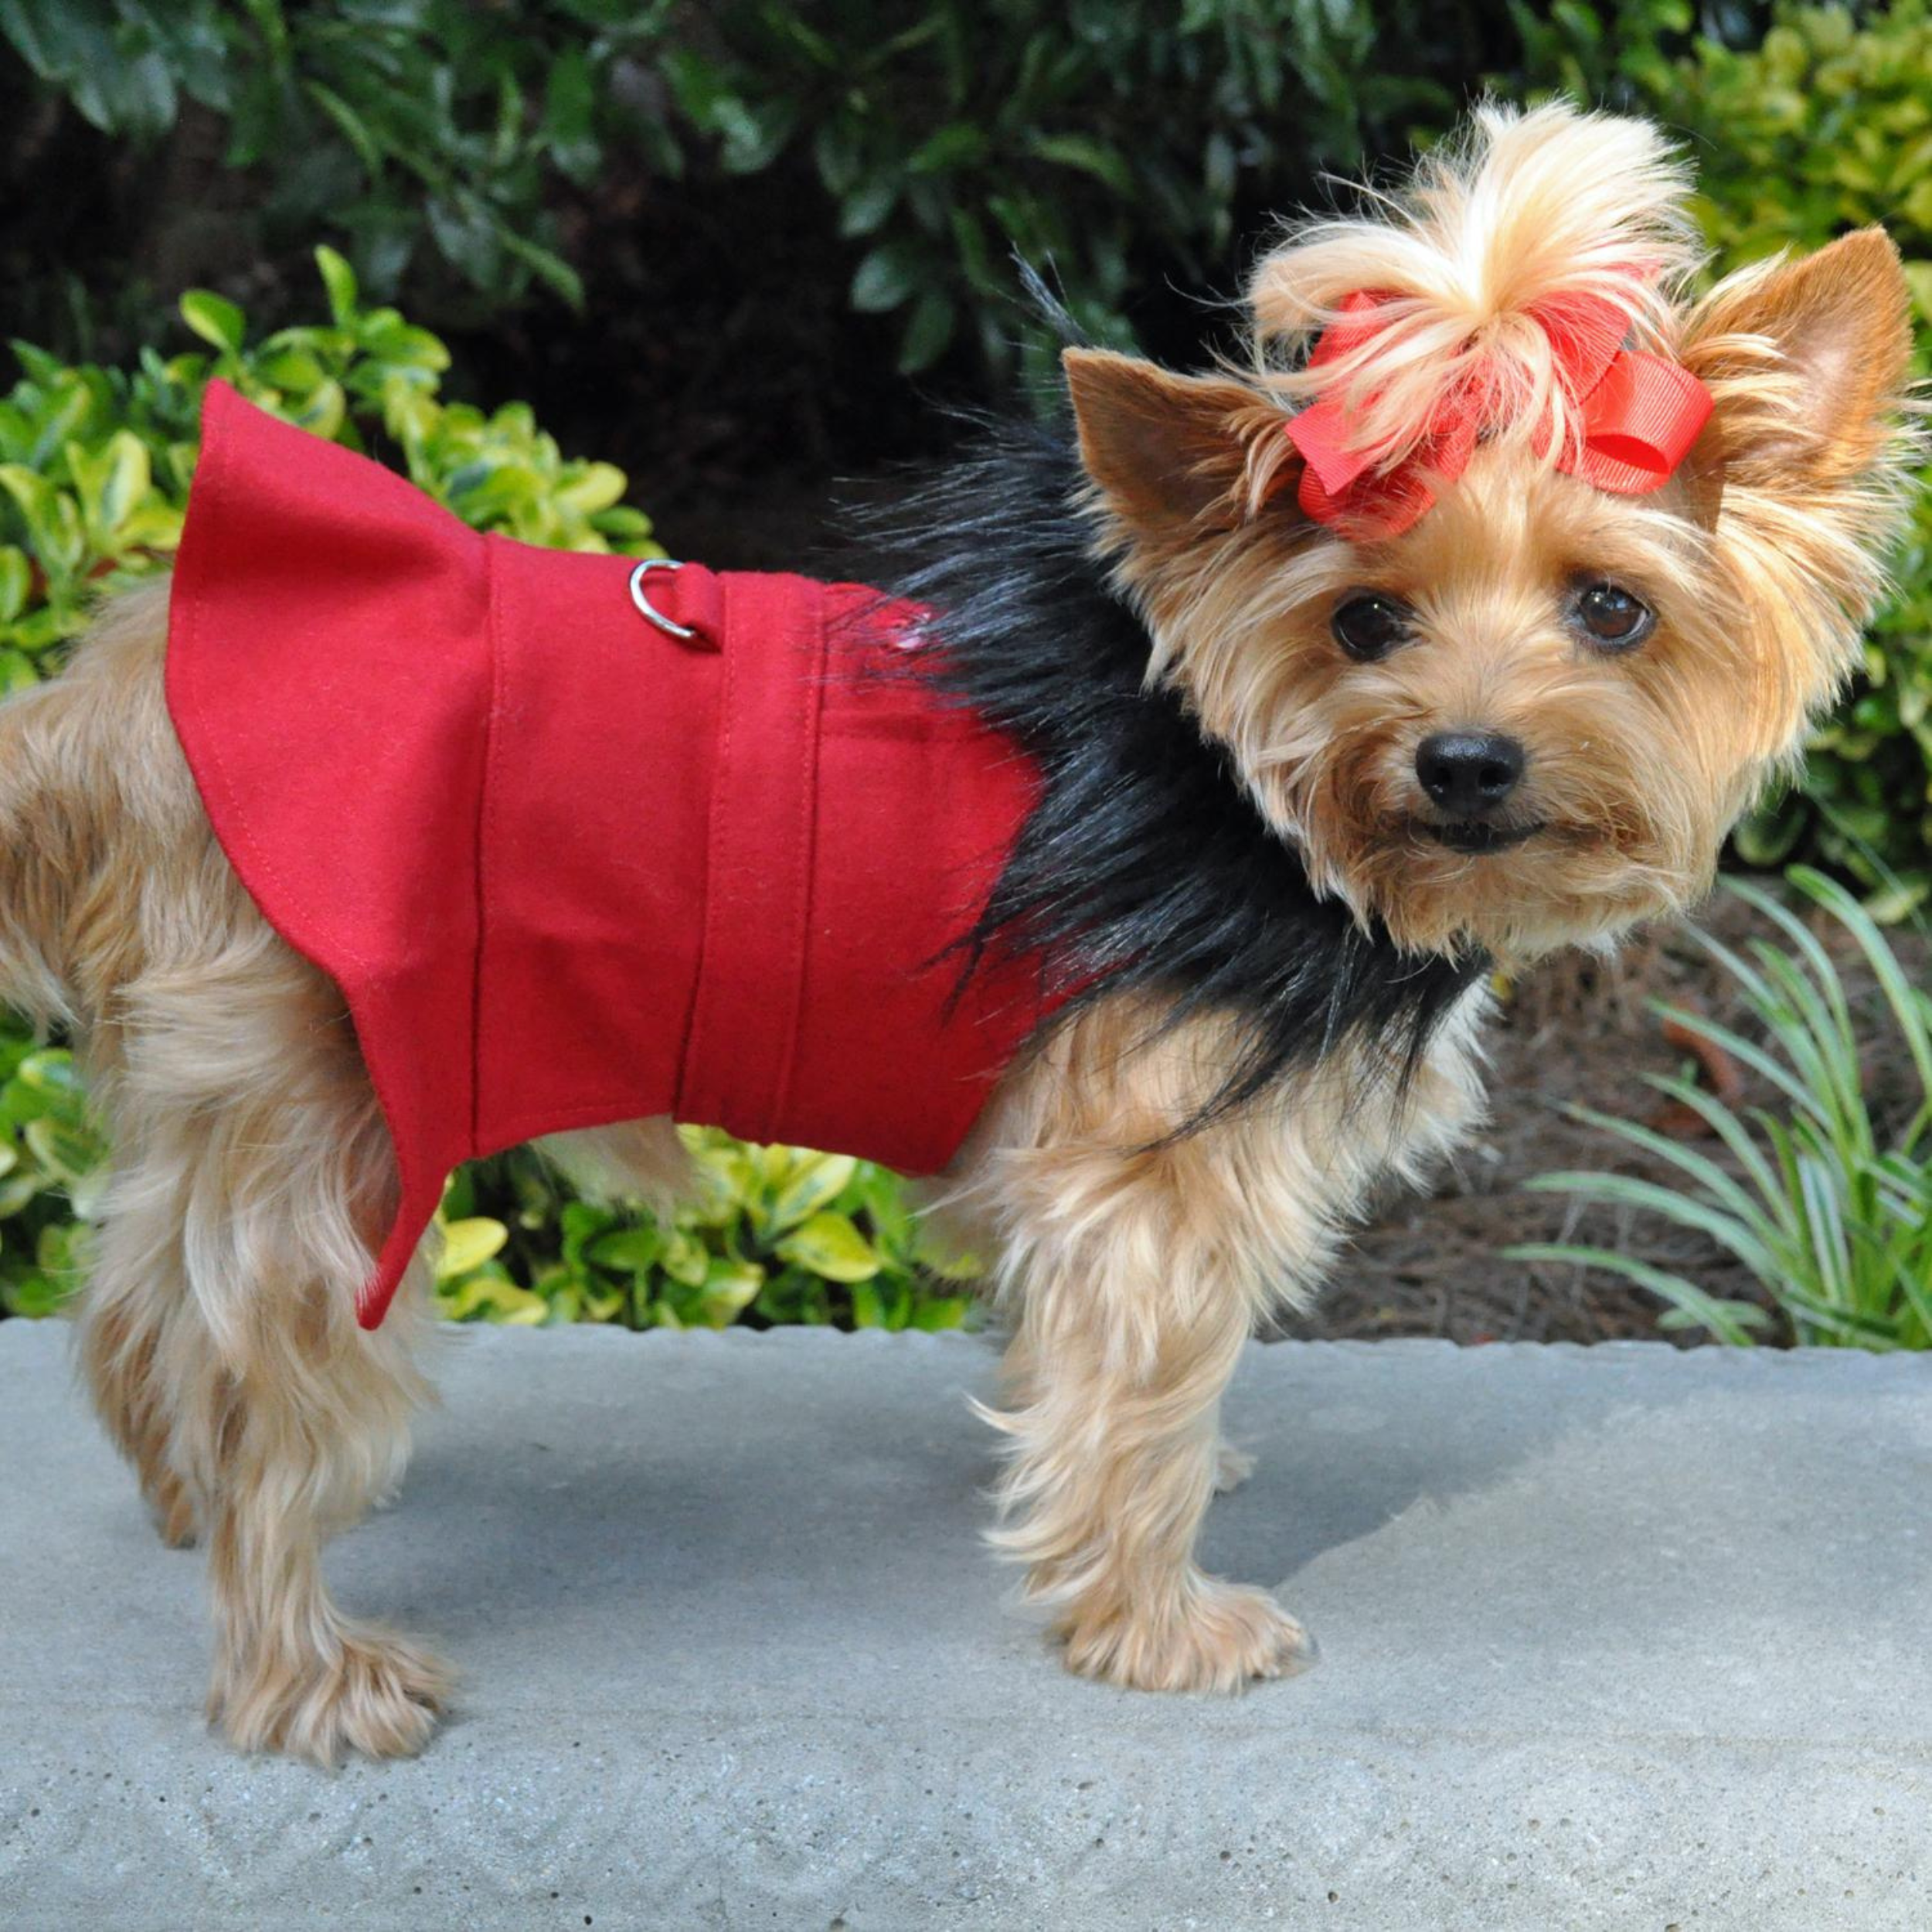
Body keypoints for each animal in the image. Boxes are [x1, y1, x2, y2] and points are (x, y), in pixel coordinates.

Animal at [3, 109, 1917, 1770]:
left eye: (1611, 609)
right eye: (1363, 620)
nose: (1462, 759)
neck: (1225, 789)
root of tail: (113, 695)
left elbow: (1074, 1361)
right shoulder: (1146, 1169)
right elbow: (1132, 1391)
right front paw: (1152, 1616)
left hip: (227, 1089)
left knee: (132, 1301)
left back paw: (172, 1499)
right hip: (332, 1101)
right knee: (262, 1386)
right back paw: (301, 1672)